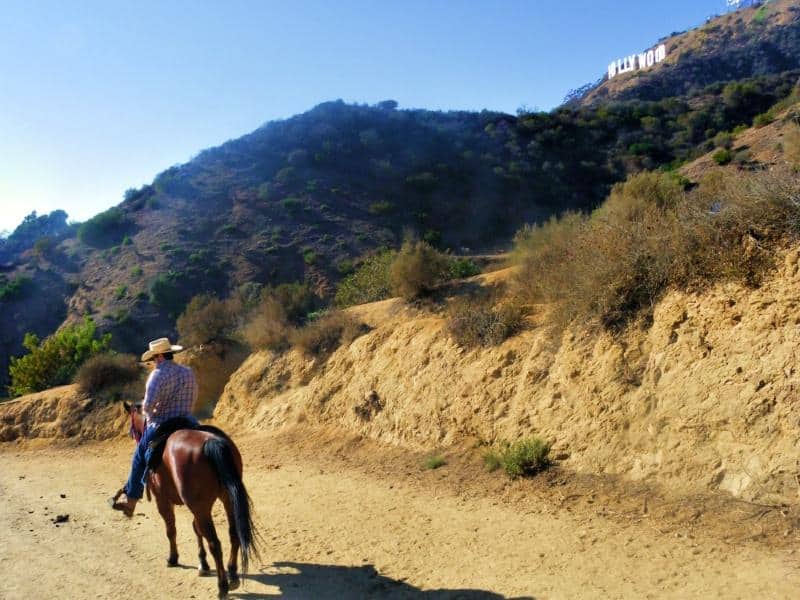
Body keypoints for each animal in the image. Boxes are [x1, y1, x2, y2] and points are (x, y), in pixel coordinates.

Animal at [114, 400, 258, 596]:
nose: (133, 435)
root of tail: (212, 442)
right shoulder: (196, 506)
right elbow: (196, 529)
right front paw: (203, 564)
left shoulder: (163, 500)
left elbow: (171, 530)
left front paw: (173, 558)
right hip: (226, 499)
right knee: (233, 533)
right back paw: (233, 573)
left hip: (200, 507)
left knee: (215, 543)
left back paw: (222, 586)